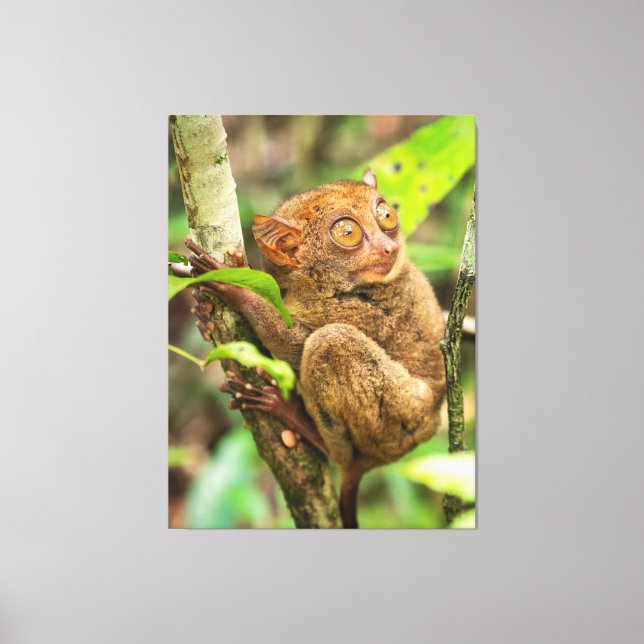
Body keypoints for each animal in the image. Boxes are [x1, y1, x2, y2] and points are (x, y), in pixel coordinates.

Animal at [187, 168, 446, 528]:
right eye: (348, 233)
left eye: (385, 216)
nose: (389, 246)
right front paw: (201, 315)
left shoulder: (365, 310)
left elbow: (294, 347)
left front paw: (234, 286)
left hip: (399, 418)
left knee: (330, 342)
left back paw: (299, 421)